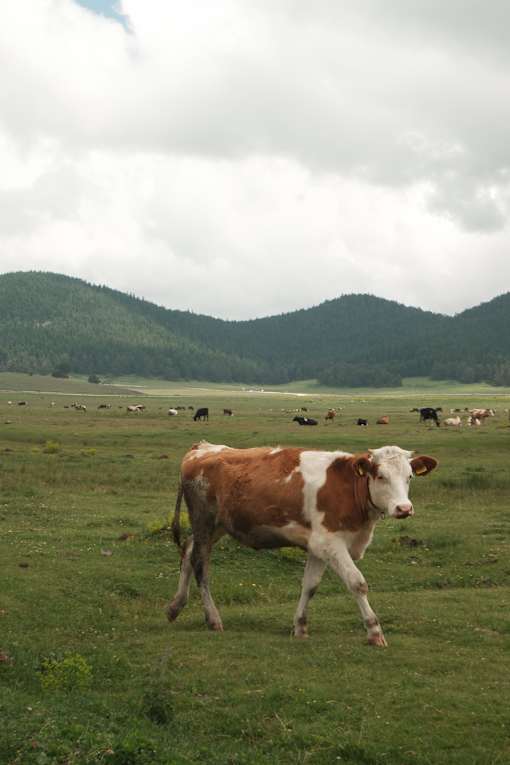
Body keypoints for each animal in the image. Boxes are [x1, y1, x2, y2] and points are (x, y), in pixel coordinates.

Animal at [167, 441, 438, 646]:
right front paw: (374, 632)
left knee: (188, 551)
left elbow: (310, 586)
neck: (348, 488)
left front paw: (300, 627)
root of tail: (203, 448)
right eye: (381, 476)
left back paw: (175, 606)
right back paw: (213, 619)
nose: (404, 508)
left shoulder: (318, 545)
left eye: (409, 477)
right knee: (200, 566)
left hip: (217, 526)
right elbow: (357, 583)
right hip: (204, 521)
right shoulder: (331, 542)